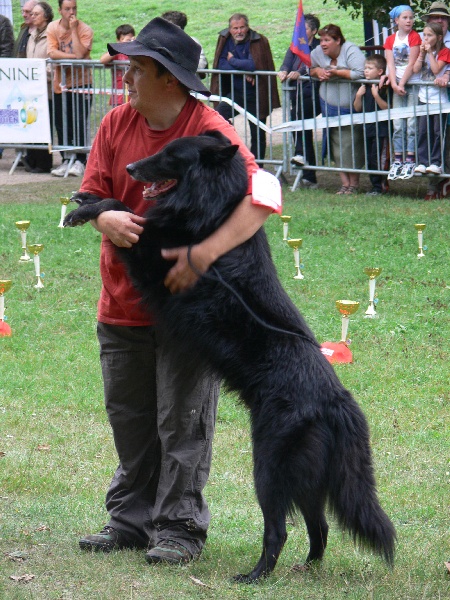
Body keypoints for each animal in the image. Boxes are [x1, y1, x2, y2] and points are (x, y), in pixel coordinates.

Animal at [65, 130, 396, 580]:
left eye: (171, 154)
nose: (131, 168)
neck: (212, 208)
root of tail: (337, 403)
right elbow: (122, 205)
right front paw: (87, 198)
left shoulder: (155, 255)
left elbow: (124, 211)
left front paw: (87, 210)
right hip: (307, 476)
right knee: (320, 524)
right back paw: (306, 569)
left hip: (268, 467)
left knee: (279, 529)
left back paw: (255, 576)